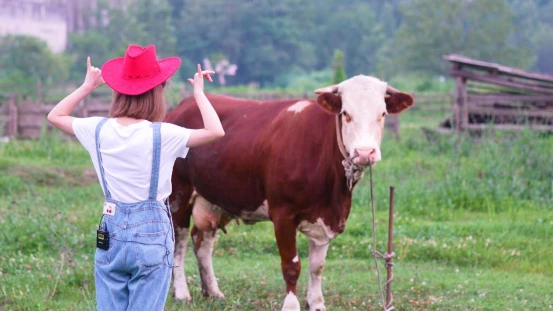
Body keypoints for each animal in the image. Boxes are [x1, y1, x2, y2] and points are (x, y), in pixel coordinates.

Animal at [165, 75, 414, 310]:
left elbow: (317, 266)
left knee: (202, 241)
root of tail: (180, 107)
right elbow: (291, 265)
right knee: (180, 240)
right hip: (178, 193)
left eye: (382, 114)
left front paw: (316, 303)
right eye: (346, 113)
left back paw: (213, 292)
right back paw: (182, 293)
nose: (364, 152)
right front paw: (292, 305)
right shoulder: (283, 215)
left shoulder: (327, 217)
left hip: (212, 198)